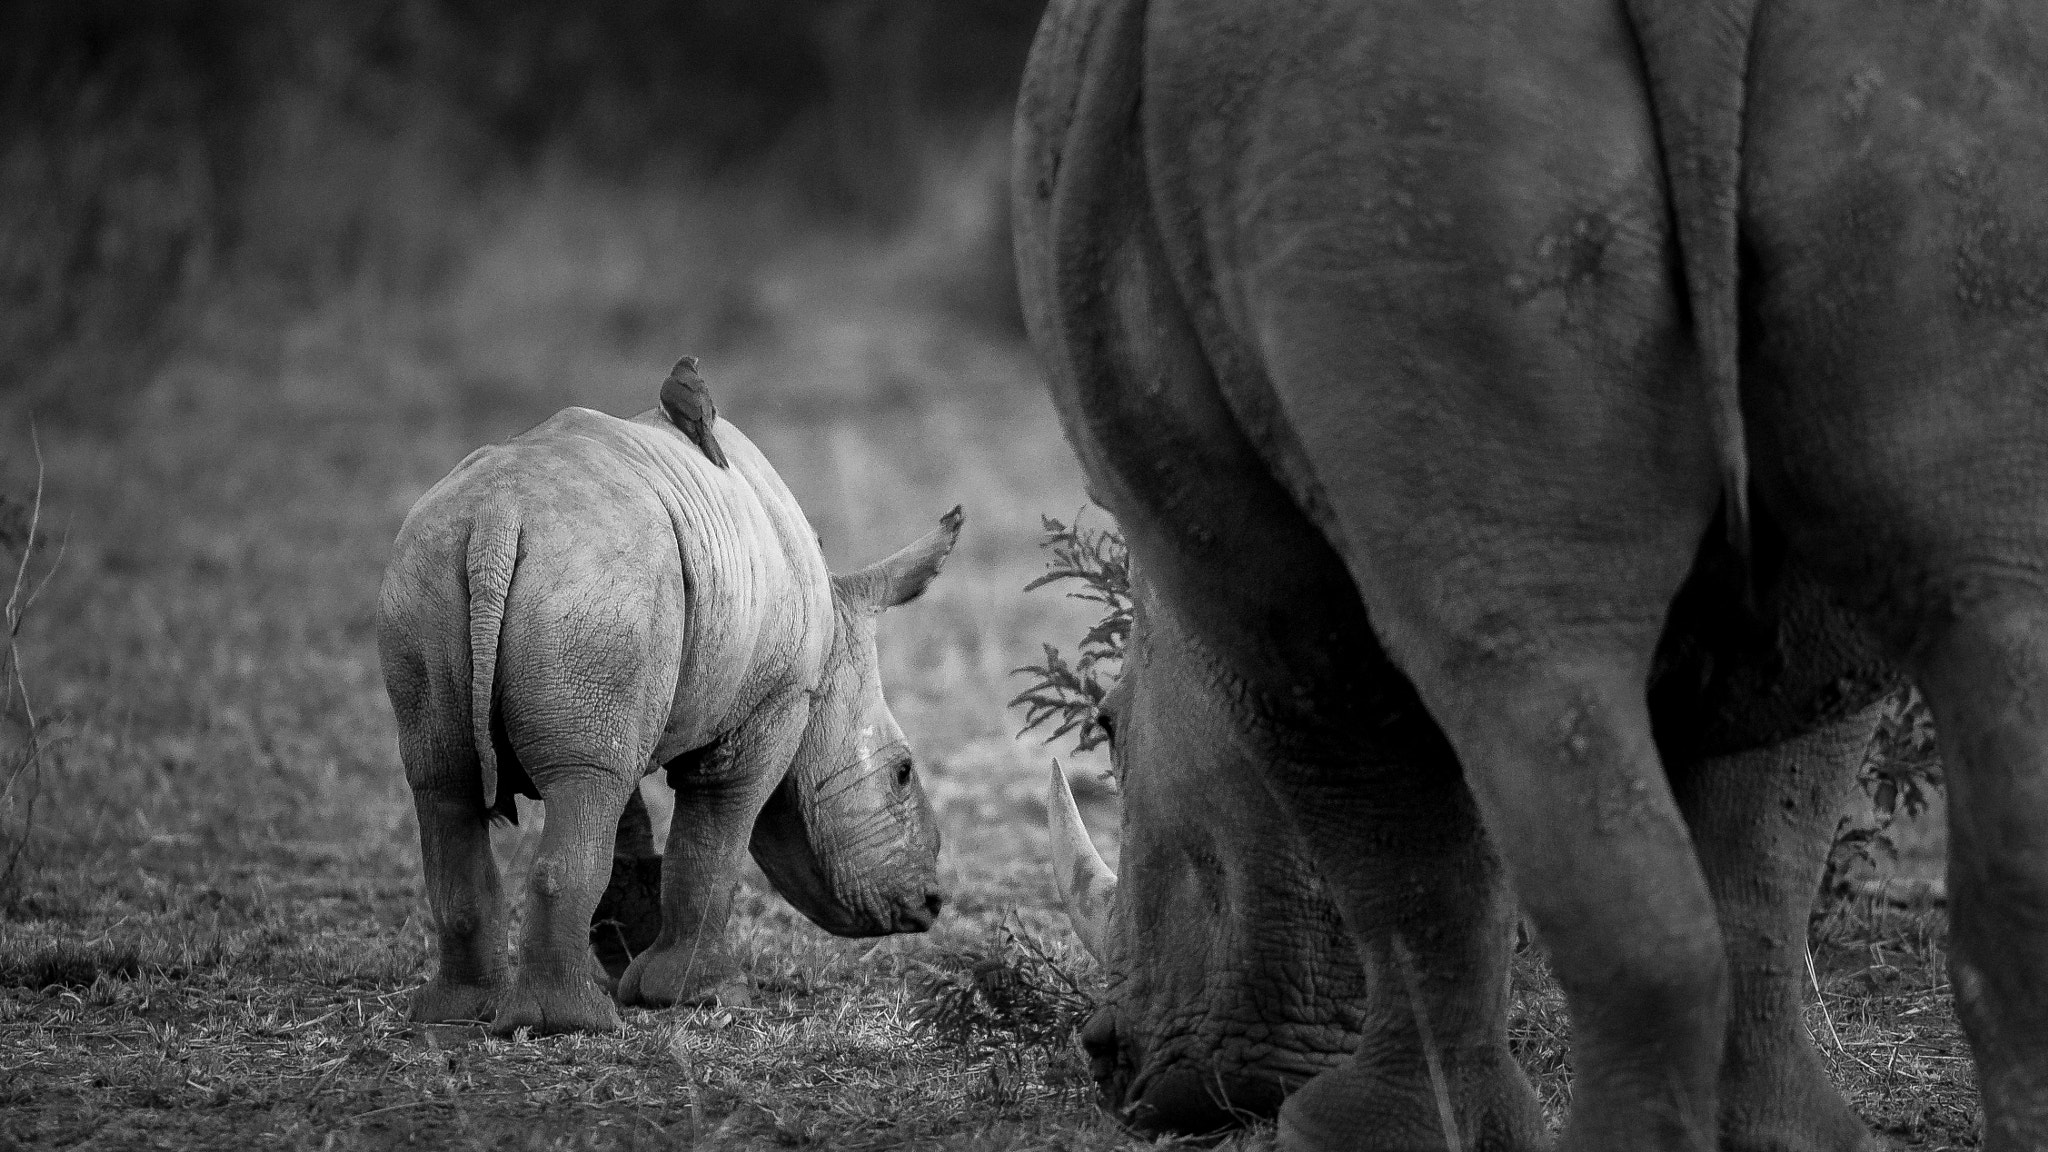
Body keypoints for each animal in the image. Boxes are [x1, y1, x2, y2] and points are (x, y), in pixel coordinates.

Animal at [378, 396, 961, 1035]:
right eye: (902, 773)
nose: (931, 904)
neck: (830, 650)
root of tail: (495, 519)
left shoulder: (623, 703)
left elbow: (631, 828)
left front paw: (636, 959)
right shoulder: (774, 701)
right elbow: (712, 841)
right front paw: (701, 995)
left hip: (432, 577)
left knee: (452, 781)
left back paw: (458, 1016)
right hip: (598, 585)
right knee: (577, 784)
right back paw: (574, 1024)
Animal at [1016, 0, 2048, 1149]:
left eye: (1108, 725)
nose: (1109, 1061)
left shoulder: (1262, 600)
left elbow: (1399, 848)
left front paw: (1363, 1134)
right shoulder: (1810, 648)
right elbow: (1761, 847)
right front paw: (1782, 1133)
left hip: (1400, 133)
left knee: (1527, 672)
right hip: (1935, 90)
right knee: (1989, 616)